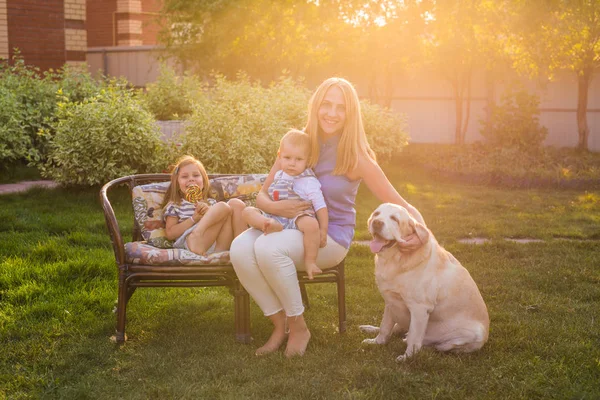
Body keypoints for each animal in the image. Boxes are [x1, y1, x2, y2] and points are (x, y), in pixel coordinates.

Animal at [358, 203, 490, 362]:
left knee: (435, 344)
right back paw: (369, 329)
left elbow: (414, 339)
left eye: (395, 219)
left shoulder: (419, 308)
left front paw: (407, 358)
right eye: (376, 214)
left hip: (471, 334)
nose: (376, 223)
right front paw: (377, 342)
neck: (395, 260)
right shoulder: (390, 301)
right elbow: (385, 327)